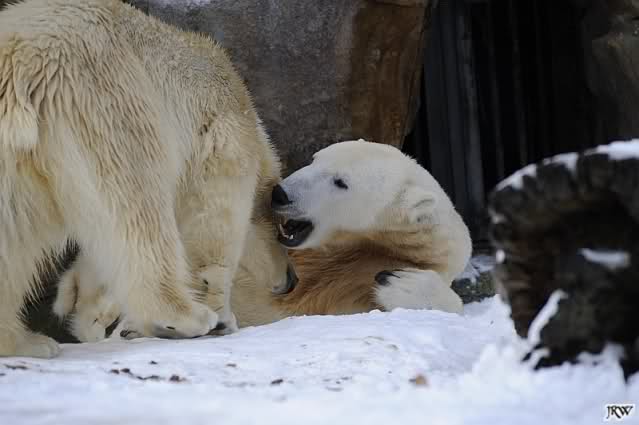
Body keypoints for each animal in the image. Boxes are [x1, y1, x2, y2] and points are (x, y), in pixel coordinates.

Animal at [0, 0, 290, 357]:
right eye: (282, 229)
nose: (291, 279)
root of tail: (19, 64)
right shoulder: (223, 137)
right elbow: (213, 222)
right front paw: (222, 315)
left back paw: (26, 342)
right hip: (109, 108)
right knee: (137, 210)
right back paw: (184, 317)